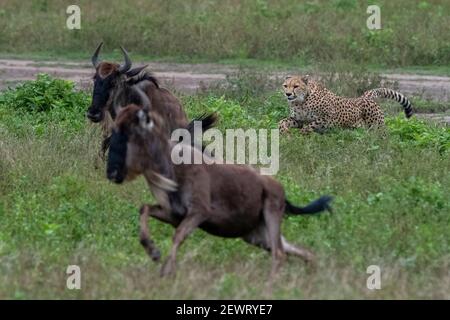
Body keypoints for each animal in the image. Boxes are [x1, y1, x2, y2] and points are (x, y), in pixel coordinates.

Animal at [280, 74, 414, 134]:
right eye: (285, 85)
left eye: (296, 86)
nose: (287, 94)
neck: (301, 101)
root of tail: (363, 97)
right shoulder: (298, 120)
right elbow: (282, 121)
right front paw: (284, 131)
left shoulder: (328, 117)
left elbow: (310, 125)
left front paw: (302, 134)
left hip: (377, 127)